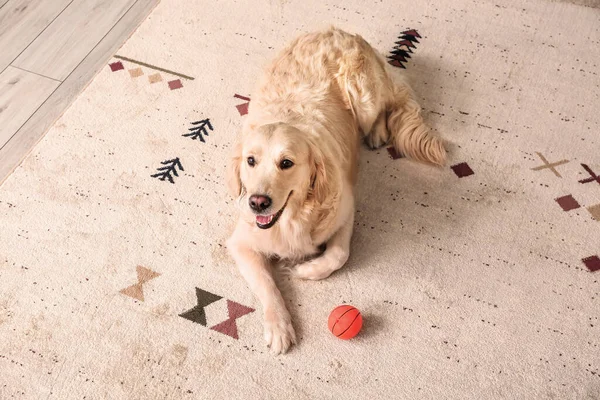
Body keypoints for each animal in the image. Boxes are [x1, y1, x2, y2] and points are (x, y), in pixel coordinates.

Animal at [225, 27, 446, 354]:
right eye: (250, 161)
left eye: (286, 163)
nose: (258, 202)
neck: (292, 219)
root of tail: (342, 31)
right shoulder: (241, 242)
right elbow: (267, 285)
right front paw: (279, 326)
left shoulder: (346, 209)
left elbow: (339, 254)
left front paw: (304, 271)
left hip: (363, 95)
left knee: (382, 108)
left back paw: (378, 132)